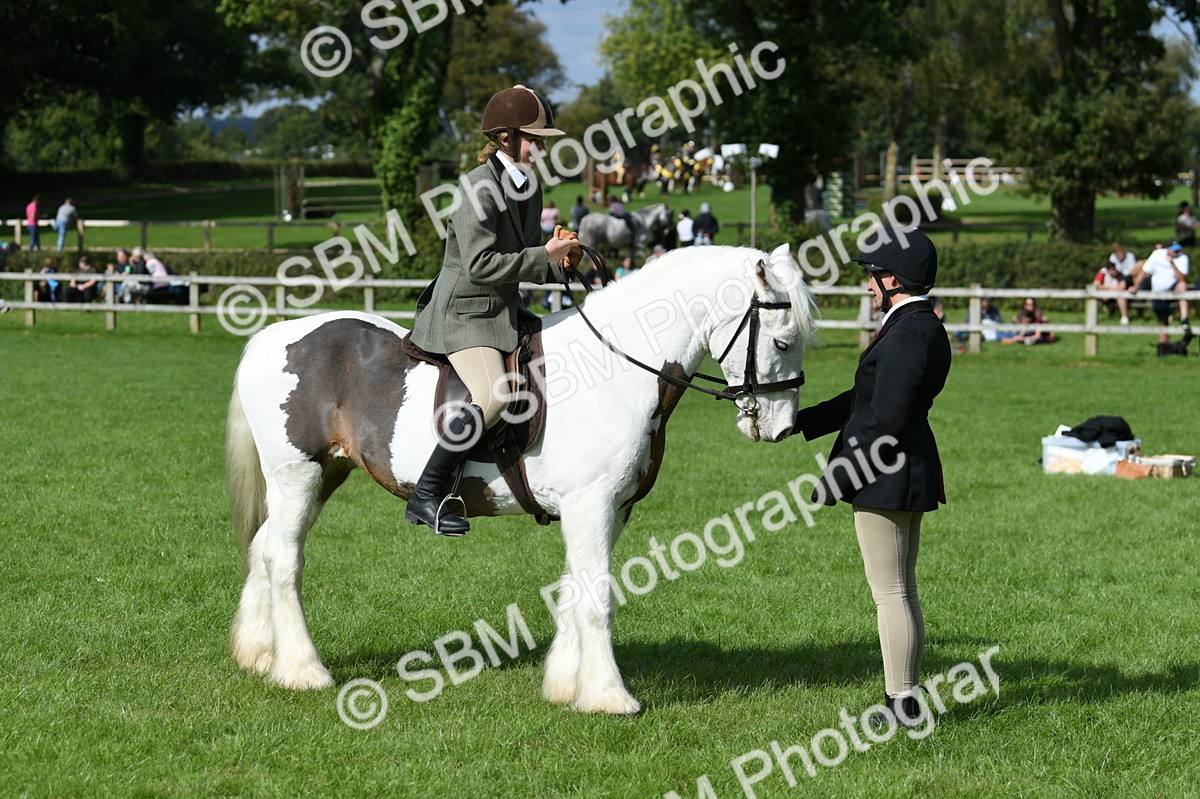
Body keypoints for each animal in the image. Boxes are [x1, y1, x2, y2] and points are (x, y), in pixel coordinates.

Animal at [225, 243, 817, 715]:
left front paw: (565, 686)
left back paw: (257, 655)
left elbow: (575, 587)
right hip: (297, 475)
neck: (618, 367)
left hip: (324, 474)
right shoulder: (590, 503)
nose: (784, 427)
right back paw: (303, 671)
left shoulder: (608, 508)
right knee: (284, 560)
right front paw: (609, 697)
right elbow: (597, 595)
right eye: (783, 342)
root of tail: (271, 338)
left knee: (263, 548)